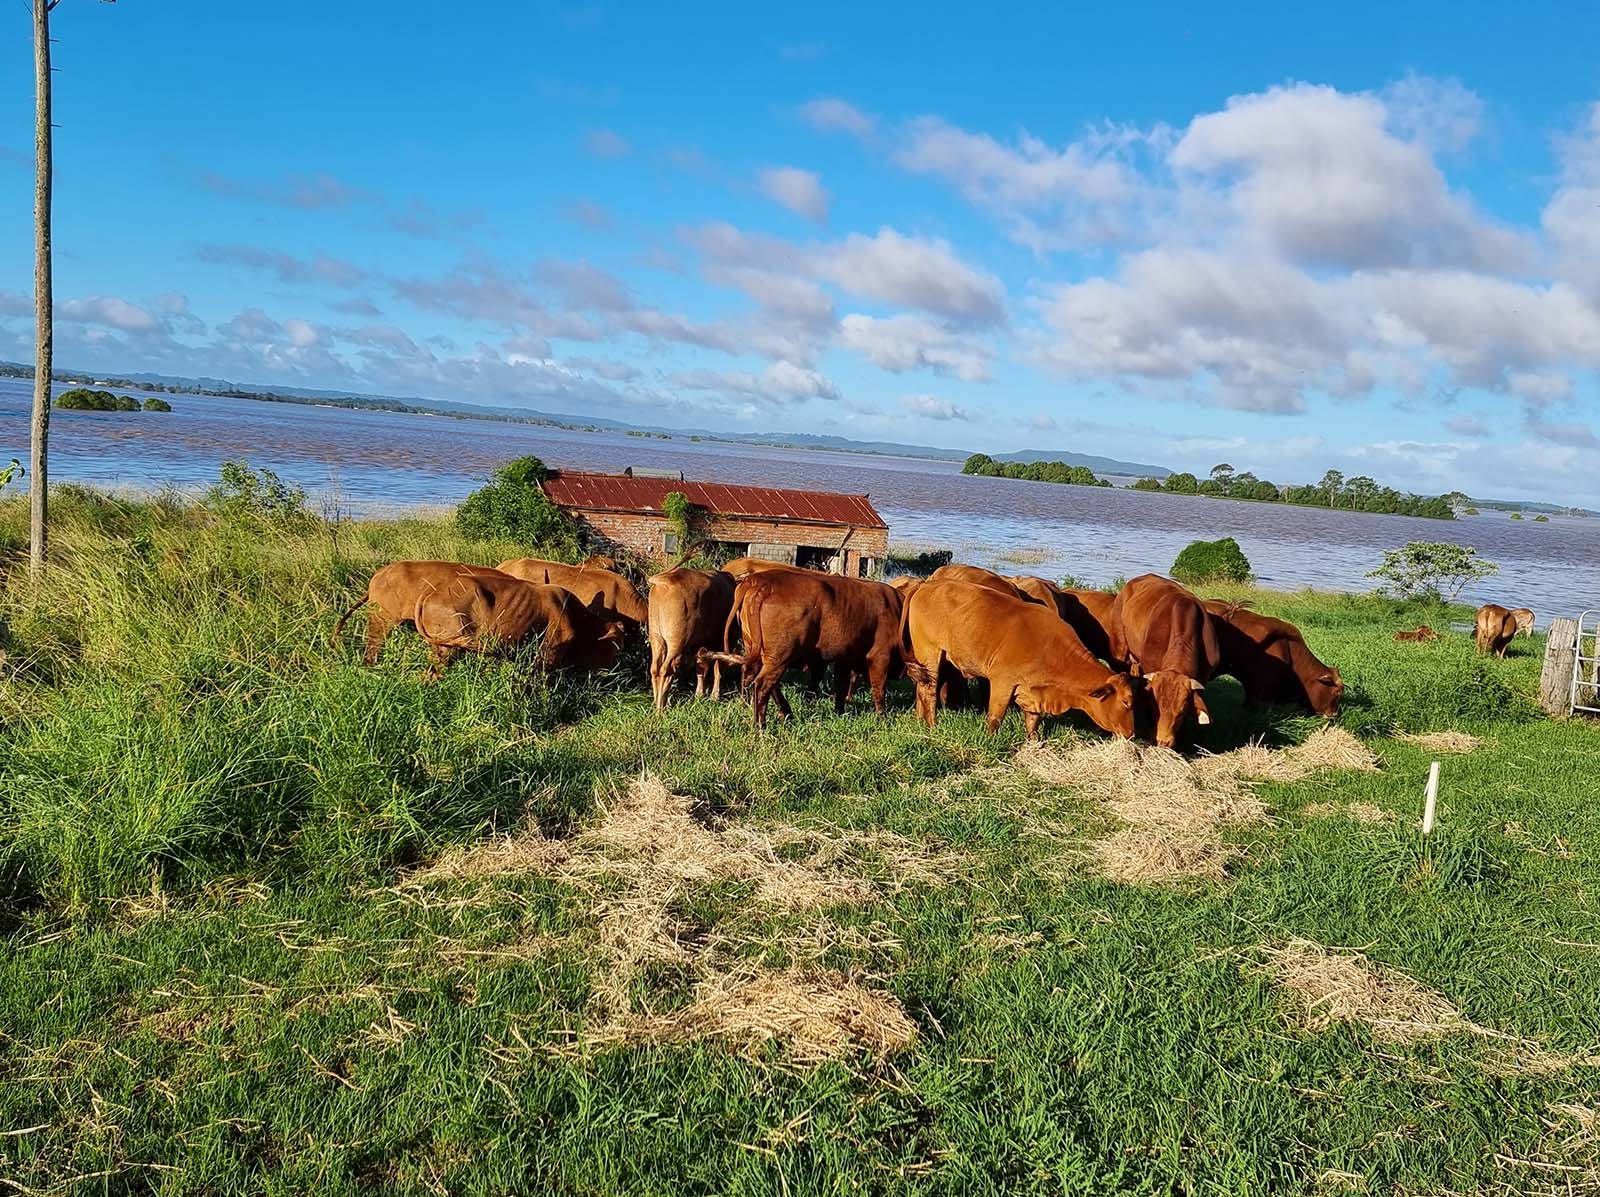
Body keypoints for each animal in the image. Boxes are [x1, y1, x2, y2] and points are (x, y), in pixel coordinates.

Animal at [646, 567, 736, 709]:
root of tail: (666, 581)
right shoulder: (722, 641)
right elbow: (718, 669)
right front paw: (714, 697)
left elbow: (701, 668)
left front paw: (699, 695)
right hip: (677, 641)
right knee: (667, 669)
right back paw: (661, 708)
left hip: (657, 637)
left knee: (655, 668)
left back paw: (656, 702)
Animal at [701, 571, 902, 729]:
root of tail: (762, 582)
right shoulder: (880, 655)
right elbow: (879, 689)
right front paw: (882, 718)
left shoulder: (843, 659)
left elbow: (841, 686)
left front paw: (840, 712)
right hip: (780, 655)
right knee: (763, 684)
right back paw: (761, 725)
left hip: (758, 649)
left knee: (755, 677)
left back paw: (782, 713)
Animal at [901, 579, 1138, 741]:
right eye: (1127, 702)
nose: (1131, 734)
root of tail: (926, 584)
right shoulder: (1002, 682)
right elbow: (996, 716)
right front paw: (991, 740)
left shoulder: (1033, 691)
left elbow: (1033, 719)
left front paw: (1033, 742)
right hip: (930, 652)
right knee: (930, 691)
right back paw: (932, 725)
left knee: (921, 688)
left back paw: (920, 722)